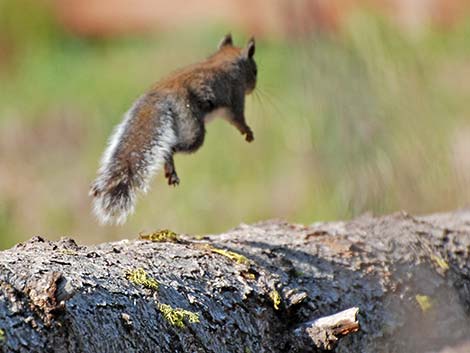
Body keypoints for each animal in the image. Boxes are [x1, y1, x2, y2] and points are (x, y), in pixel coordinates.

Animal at [89, 33, 258, 226]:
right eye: (255, 71)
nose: (253, 87)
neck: (223, 59)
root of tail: (159, 94)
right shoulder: (236, 96)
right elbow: (239, 119)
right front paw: (247, 131)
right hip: (191, 126)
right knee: (171, 147)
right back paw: (170, 168)